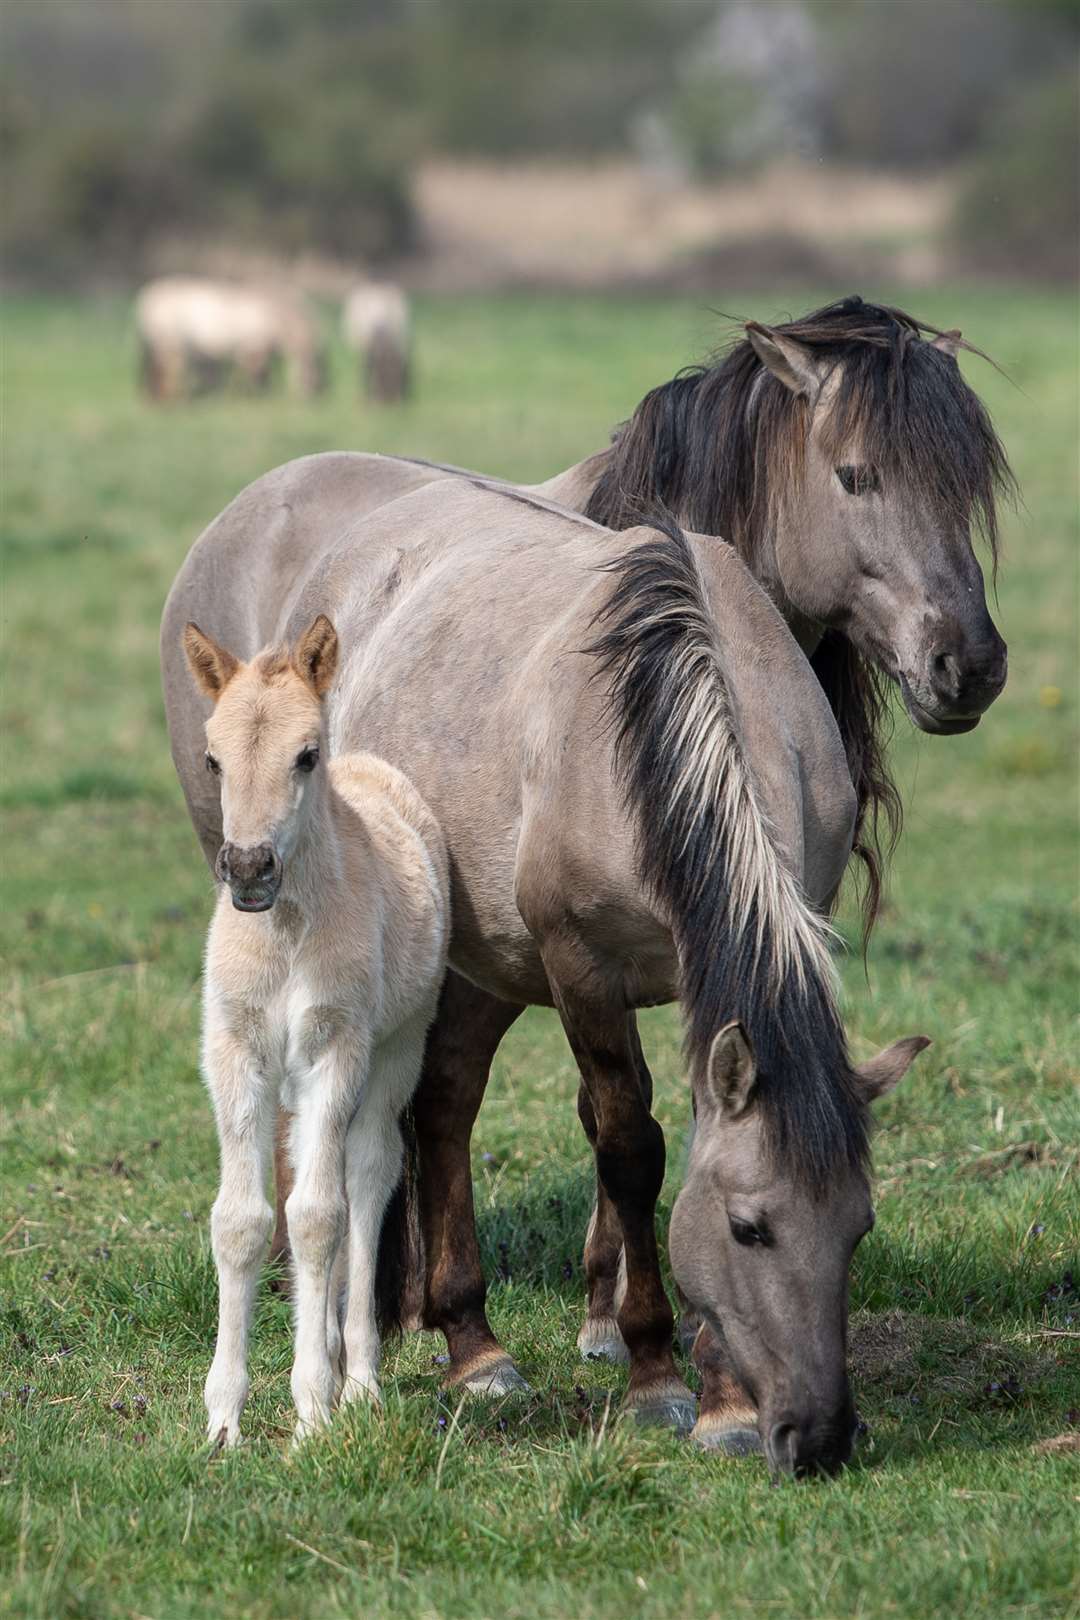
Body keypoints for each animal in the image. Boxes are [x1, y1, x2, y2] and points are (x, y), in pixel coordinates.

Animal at [181, 615, 446, 1445]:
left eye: (304, 755)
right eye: (213, 757)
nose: (248, 869)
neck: (287, 931)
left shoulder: (339, 1045)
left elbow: (322, 1216)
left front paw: (314, 1410)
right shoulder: (235, 1049)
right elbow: (242, 1220)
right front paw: (222, 1421)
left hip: (398, 1045)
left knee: (365, 1173)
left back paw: (355, 1374)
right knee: (306, 1168)